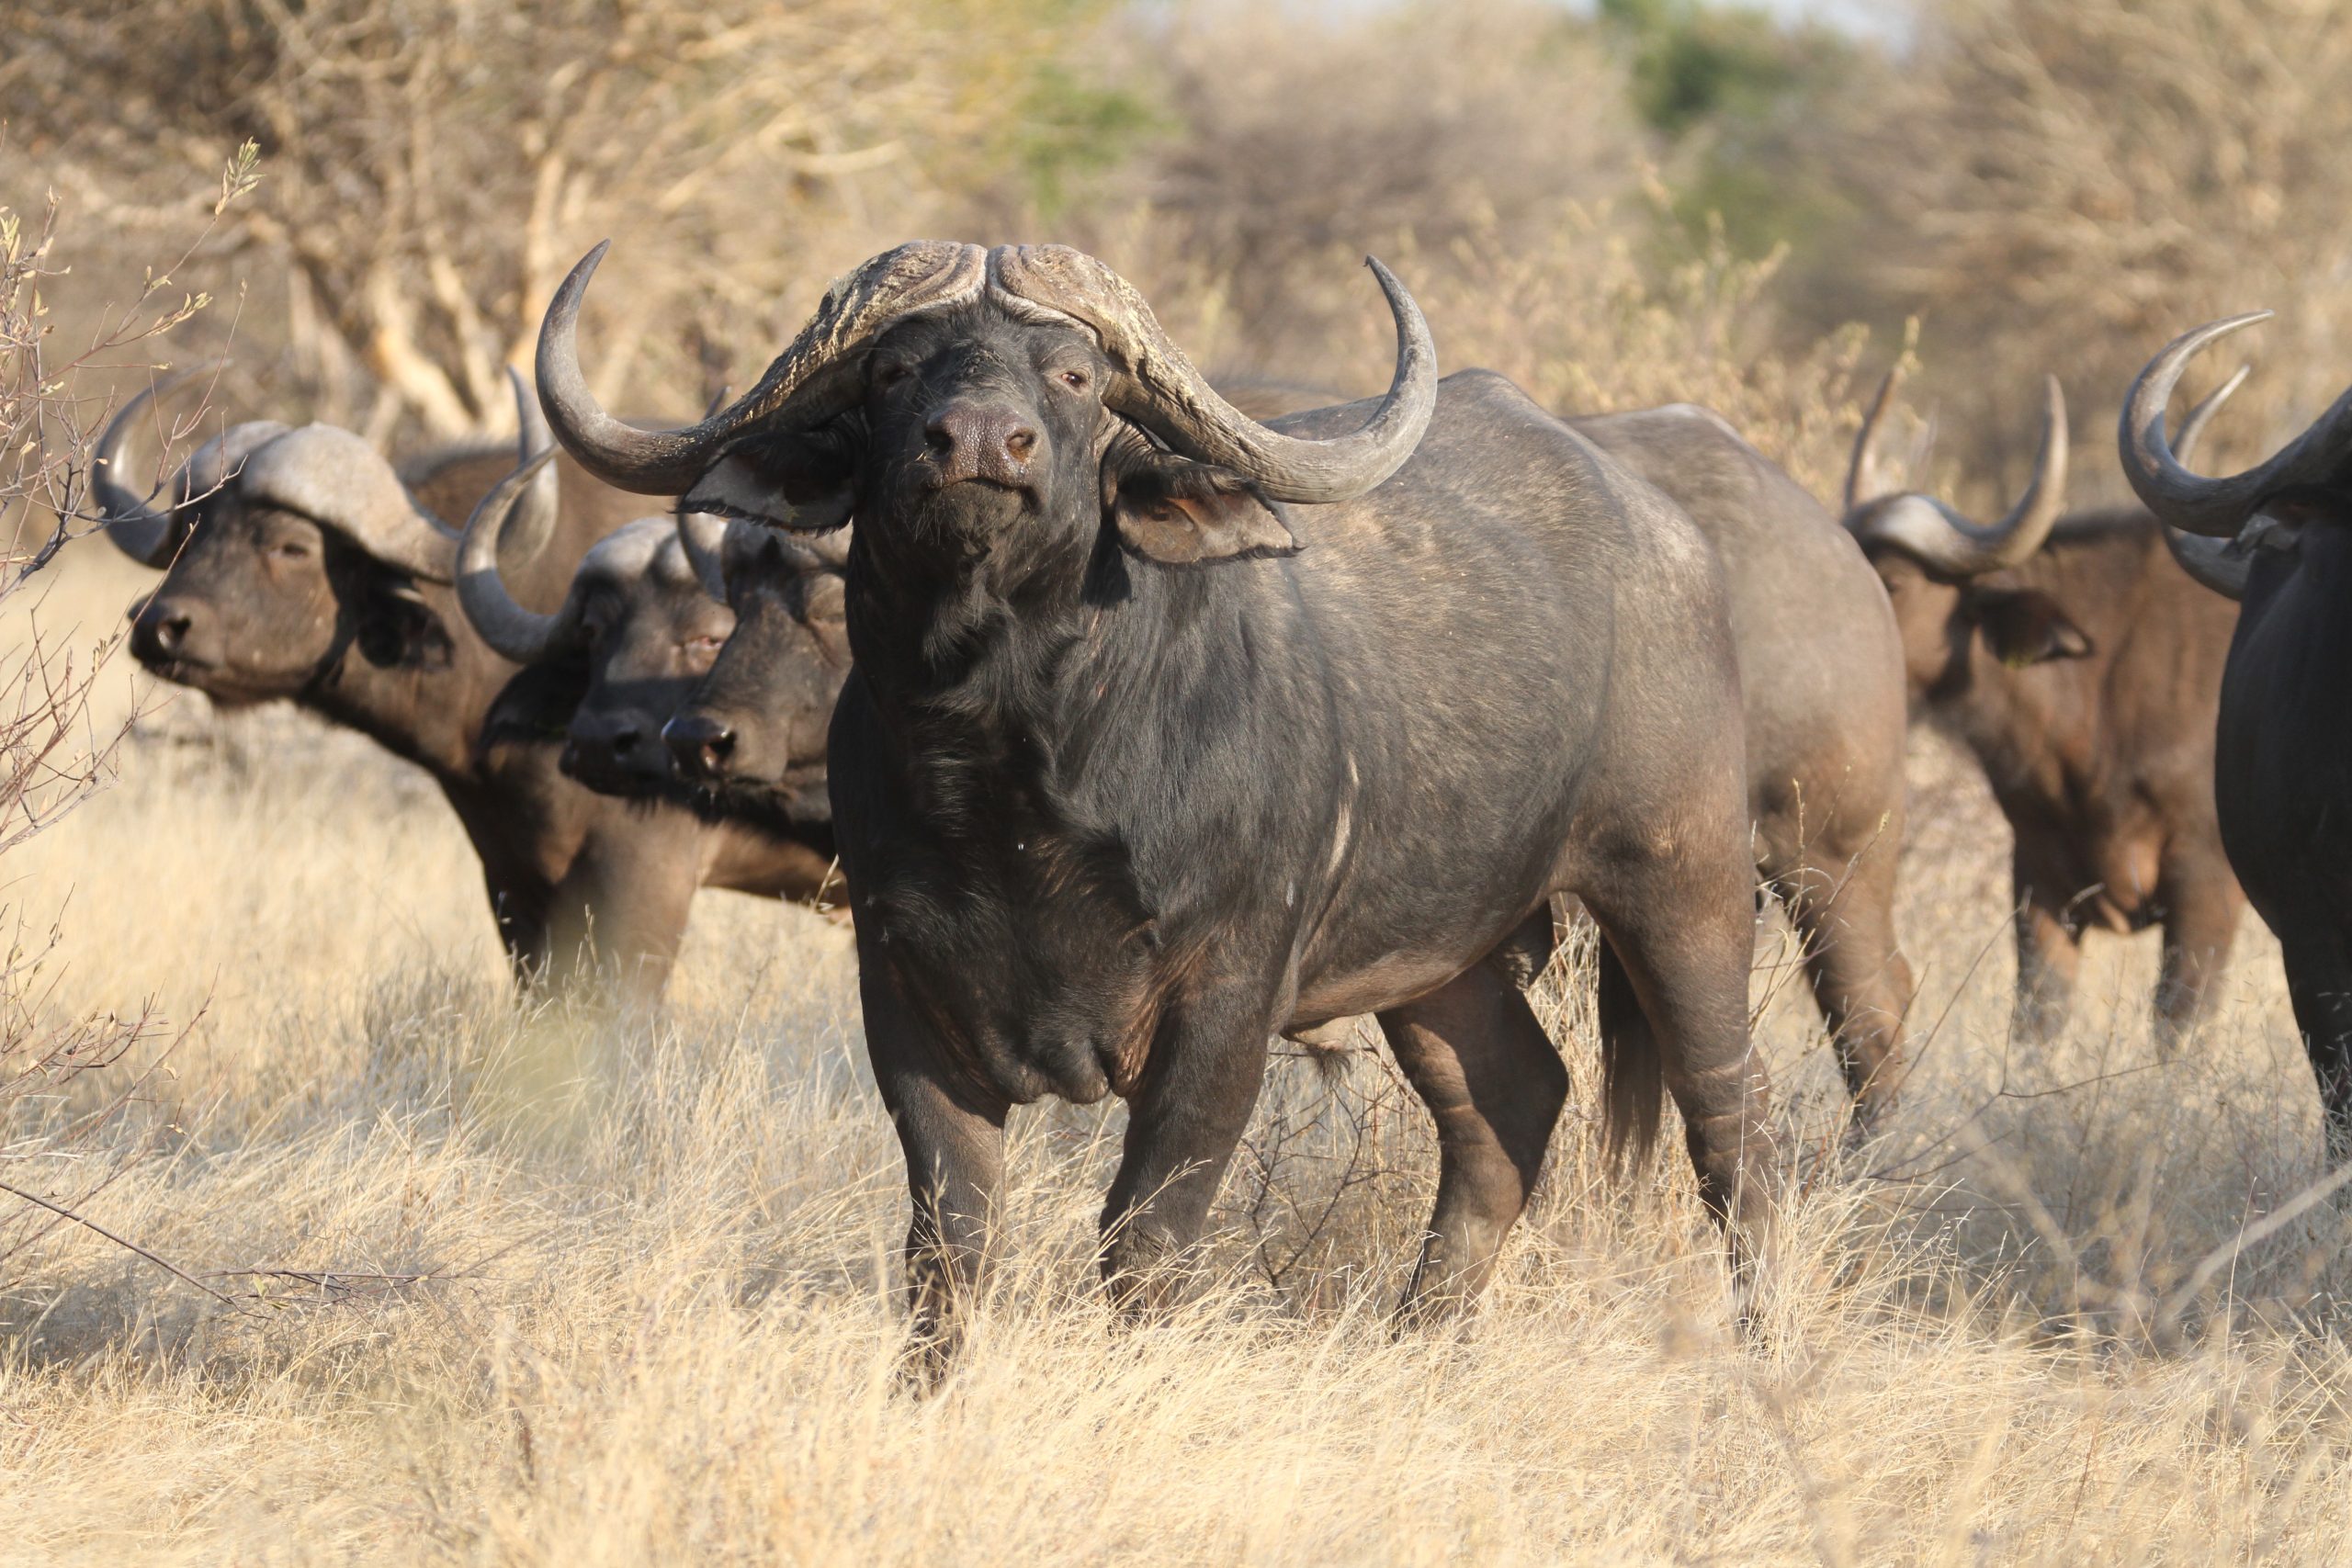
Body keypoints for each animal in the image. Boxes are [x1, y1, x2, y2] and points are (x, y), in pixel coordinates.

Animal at [536, 240, 1778, 1373]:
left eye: (1075, 376)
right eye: (894, 370)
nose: (979, 442)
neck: (1008, 778)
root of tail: (1674, 540)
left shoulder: (1223, 1006)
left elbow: (1144, 1241)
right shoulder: (901, 997)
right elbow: (950, 1243)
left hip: (1687, 889)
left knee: (1732, 1123)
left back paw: (1764, 1352)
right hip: (1440, 958)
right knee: (1509, 1104)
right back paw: (1418, 1344)